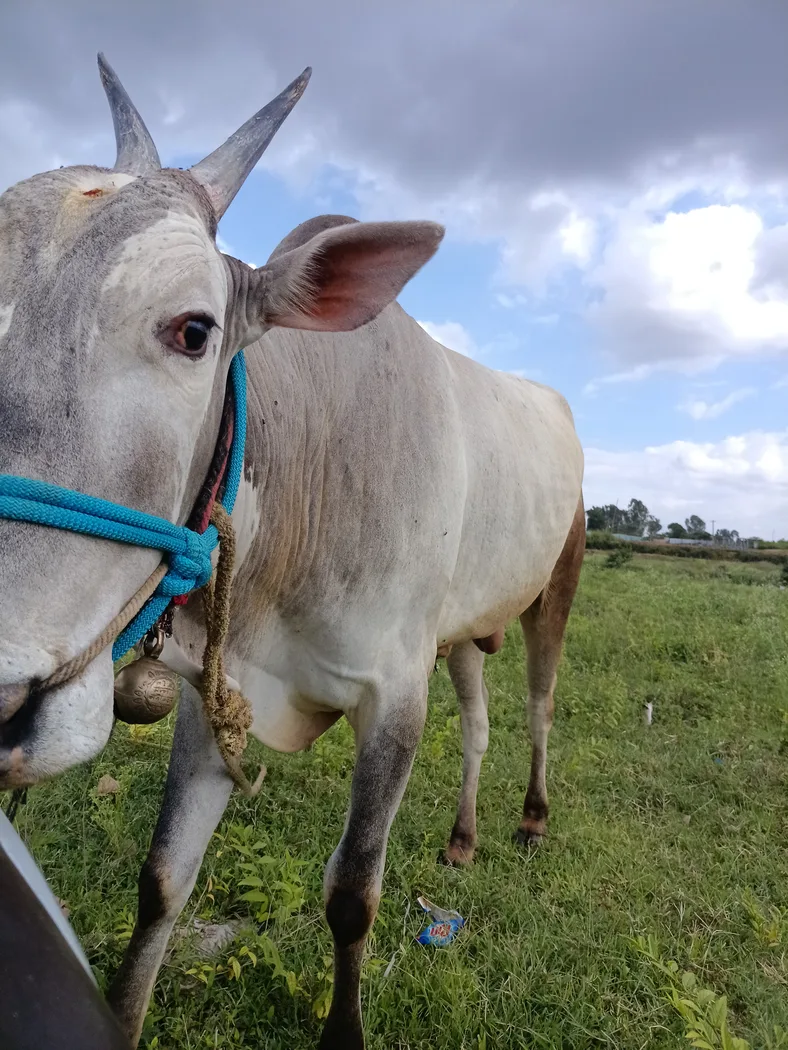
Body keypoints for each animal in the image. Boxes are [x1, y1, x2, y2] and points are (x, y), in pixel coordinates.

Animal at [0, 57, 585, 1049]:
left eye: (194, 330)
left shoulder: (394, 698)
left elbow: (352, 896)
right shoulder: (216, 694)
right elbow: (163, 881)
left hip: (556, 589)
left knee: (538, 708)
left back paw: (532, 819)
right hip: (464, 631)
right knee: (479, 722)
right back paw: (463, 836)